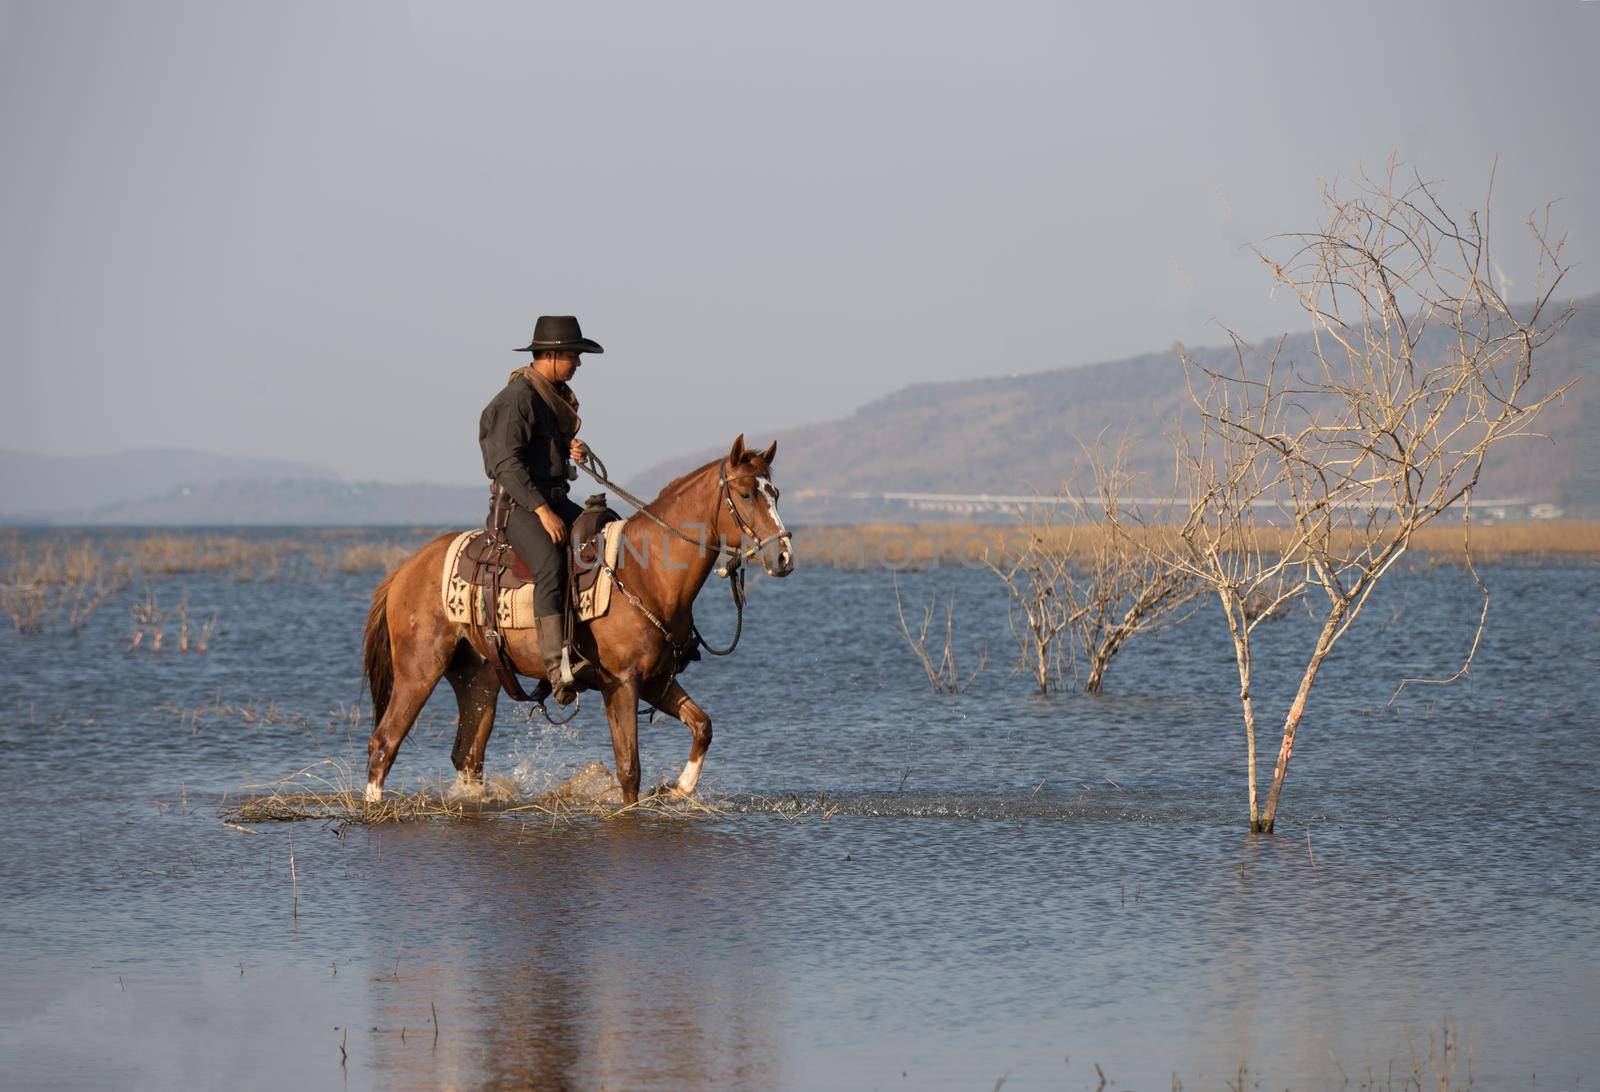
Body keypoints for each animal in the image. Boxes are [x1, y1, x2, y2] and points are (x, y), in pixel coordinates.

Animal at [360, 432, 790, 800]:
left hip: (477, 679)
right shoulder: (622, 683)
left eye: (776, 493)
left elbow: (702, 726)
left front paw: (680, 789)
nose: (783, 557)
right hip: (419, 670)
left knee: (468, 756)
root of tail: (405, 570)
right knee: (385, 742)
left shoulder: (655, 680)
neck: (646, 572)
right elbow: (629, 769)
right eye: (746, 494)